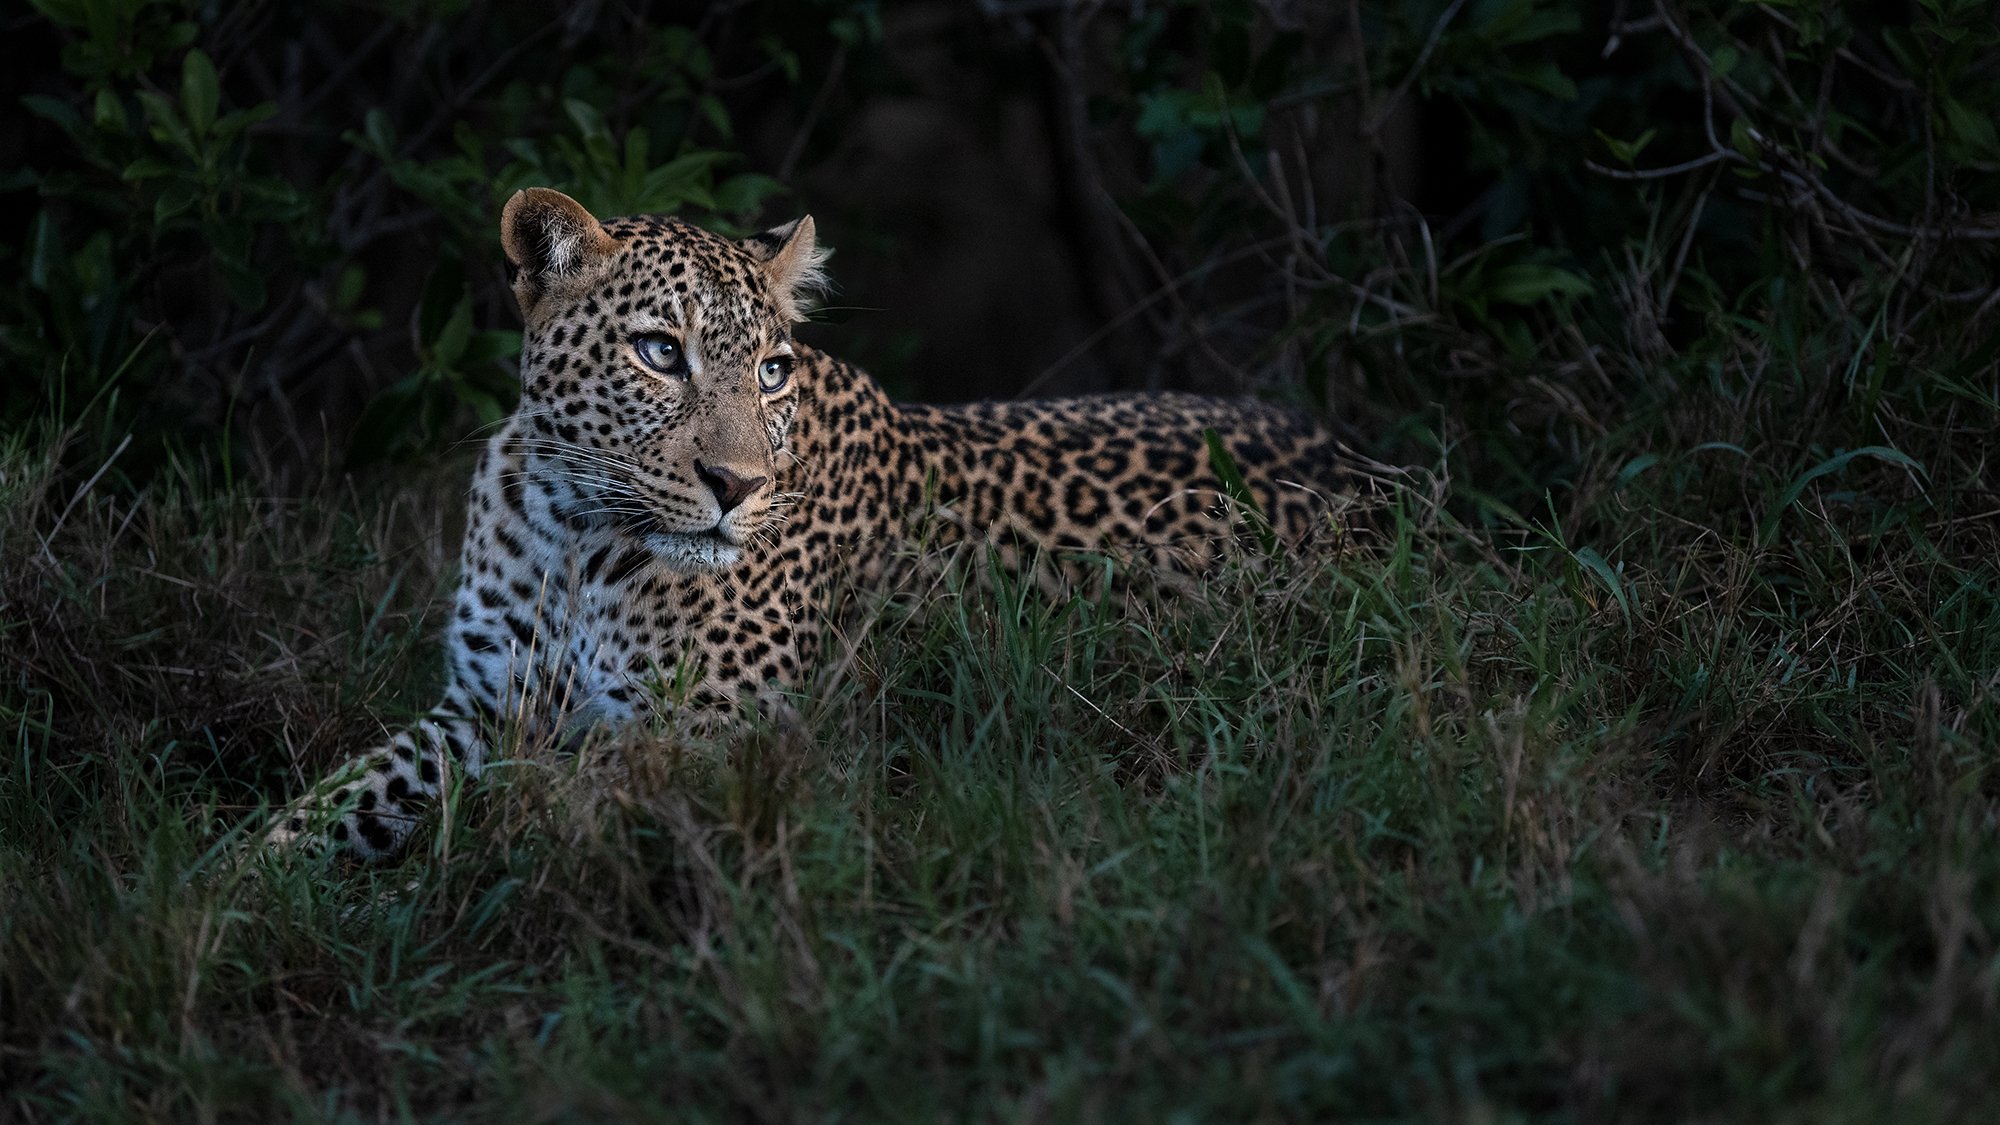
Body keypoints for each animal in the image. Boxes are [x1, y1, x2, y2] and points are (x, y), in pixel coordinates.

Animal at [271, 187, 1353, 861]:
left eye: (771, 371)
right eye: (658, 352)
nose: (735, 484)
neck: (576, 531)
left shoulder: (710, 730)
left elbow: (536, 796)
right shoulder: (481, 703)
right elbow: (339, 796)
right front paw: (244, 888)